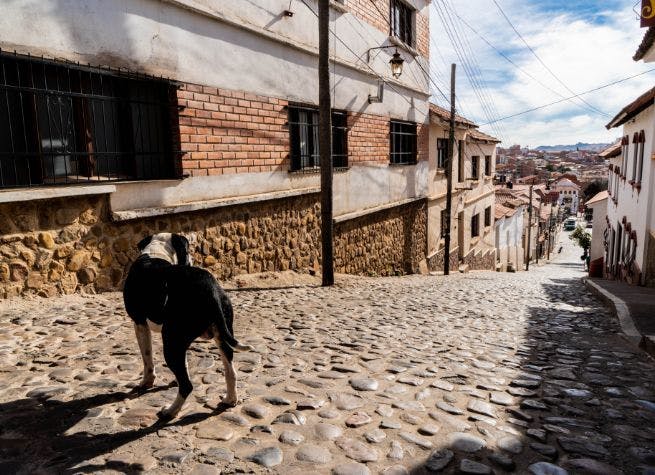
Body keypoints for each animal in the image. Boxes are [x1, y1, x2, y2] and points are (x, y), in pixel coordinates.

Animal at [121, 233, 252, 420]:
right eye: (189, 249)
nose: (192, 259)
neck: (156, 252)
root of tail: (210, 289)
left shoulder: (139, 324)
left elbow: (147, 358)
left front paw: (146, 382)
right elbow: (185, 365)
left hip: (171, 342)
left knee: (187, 386)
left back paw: (170, 411)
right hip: (221, 337)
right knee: (231, 373)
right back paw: (230, 400)